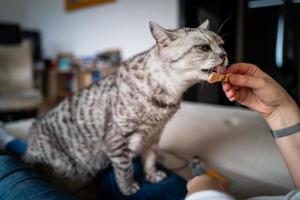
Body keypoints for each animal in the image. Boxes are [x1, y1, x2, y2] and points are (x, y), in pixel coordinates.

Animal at [23, 19, 229, 195]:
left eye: (222, 44)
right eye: (203, 47)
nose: (225, 55)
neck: (170, 93)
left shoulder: (154, 136)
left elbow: (150, 160)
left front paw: (152, 176)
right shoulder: (116, 139)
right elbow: (125, 169)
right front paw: (129, 188)